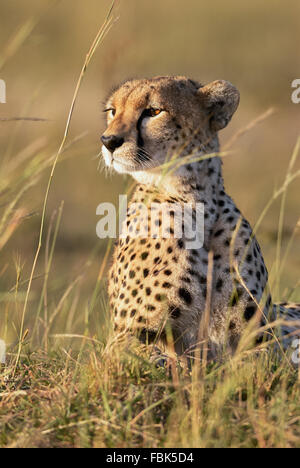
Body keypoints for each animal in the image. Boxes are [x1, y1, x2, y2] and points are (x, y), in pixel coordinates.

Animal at [101, 76, 300, 362]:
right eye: (112, 111)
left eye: (153, 111)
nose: (108, 141)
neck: (196, 199)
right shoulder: (124, 335)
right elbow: (156, 356)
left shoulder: (261, 338)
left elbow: (253, 360)